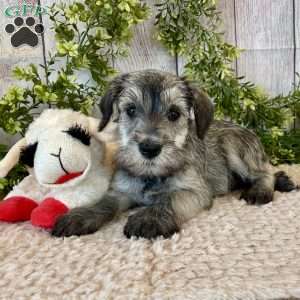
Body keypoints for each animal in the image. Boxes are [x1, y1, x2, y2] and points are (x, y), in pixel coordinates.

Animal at [51, 68, 296, 239]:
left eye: (174, 114)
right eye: (130, 110)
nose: (149, 149)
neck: (152, 176)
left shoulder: (194, 191)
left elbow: (169, 199)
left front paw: (150, 218)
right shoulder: (120, 191)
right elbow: (104, 203)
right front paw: (81, 216)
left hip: (235, 148)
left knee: (264, 172)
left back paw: (261, 190)